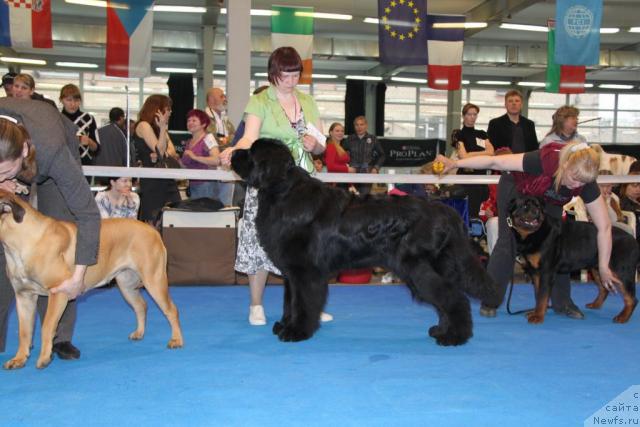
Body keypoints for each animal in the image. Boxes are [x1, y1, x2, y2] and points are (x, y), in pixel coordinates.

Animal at [0, 191, 182, 368]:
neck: (22, 242)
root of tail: (152, 230)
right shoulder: (24, 296)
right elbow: (24, 331)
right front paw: (19, 359)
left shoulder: (58, 292)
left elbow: (47, 326)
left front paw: (44, 358)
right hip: (126, 285)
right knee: (141, 306)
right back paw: (139, 333)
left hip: (154, 280)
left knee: (171, 309)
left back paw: (176, 340)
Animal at [232, 139, 498, 346]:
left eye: (251, 153)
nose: (233, 153)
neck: (282, 192)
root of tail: (446, 211)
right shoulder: (292, 273)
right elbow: (290, 301)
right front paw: (285, 325)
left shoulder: (304, 271)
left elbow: (302, 303)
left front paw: (296, 331)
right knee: (446, 299)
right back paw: (442, 330)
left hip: (417, 268)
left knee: (453, 298)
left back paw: (454, 337)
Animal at [508, 195, 636, 324]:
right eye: (524, 206)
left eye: (538, 206)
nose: (536, 212)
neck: (534, 233)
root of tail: (632, 239)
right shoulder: (535, 272)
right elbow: (538, 294)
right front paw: (535, 312)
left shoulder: (546, 271)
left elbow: (542, 296)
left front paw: (538, 316)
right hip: (599, 268)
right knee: (604, 289)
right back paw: (595, 305)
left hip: (621, 271)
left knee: (631, 298)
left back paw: (622, 317)